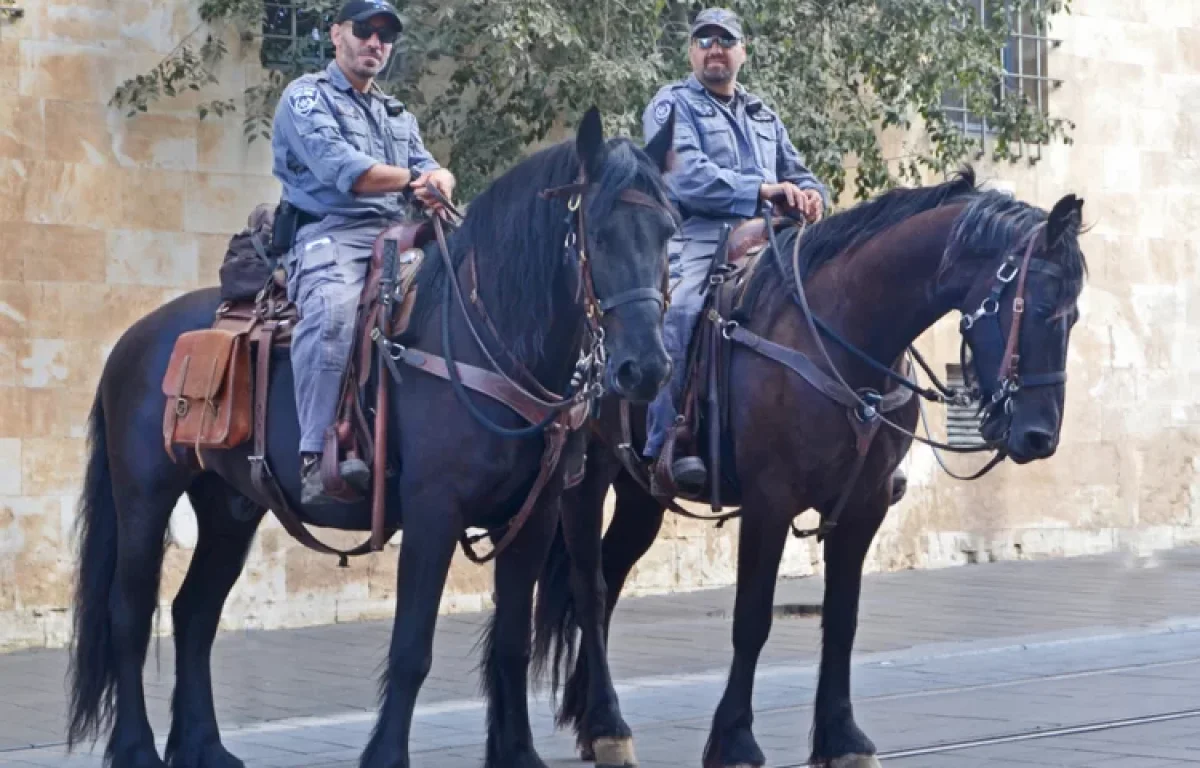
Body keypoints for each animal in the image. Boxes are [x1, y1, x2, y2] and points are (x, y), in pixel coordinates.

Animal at [68, 109, 686, 768]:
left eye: (668, 232)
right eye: (598, 233)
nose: (645, 369)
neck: (487, 339)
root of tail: (135, 339)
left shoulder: (534, 517)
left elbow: (512, 642)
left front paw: (517, 752)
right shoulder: (433, 512)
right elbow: (411, 647)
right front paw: (386, 754)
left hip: (230, 507)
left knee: (194, 613)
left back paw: (204, 745)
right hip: (144, 499)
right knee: (130, 615)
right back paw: (137, 749)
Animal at [532, 169, 1089, 768]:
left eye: (1074, 316)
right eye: (1037, 308)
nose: (1038, 436)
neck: (842, 334)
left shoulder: (865, 506)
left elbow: (841, 619)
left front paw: (842, 737)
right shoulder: (769, 502)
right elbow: (751, 619)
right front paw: (734, 739)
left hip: (641, 494)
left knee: (611, 576)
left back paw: (594, 720)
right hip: (585, 479)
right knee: (589, 586)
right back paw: (608, 723)